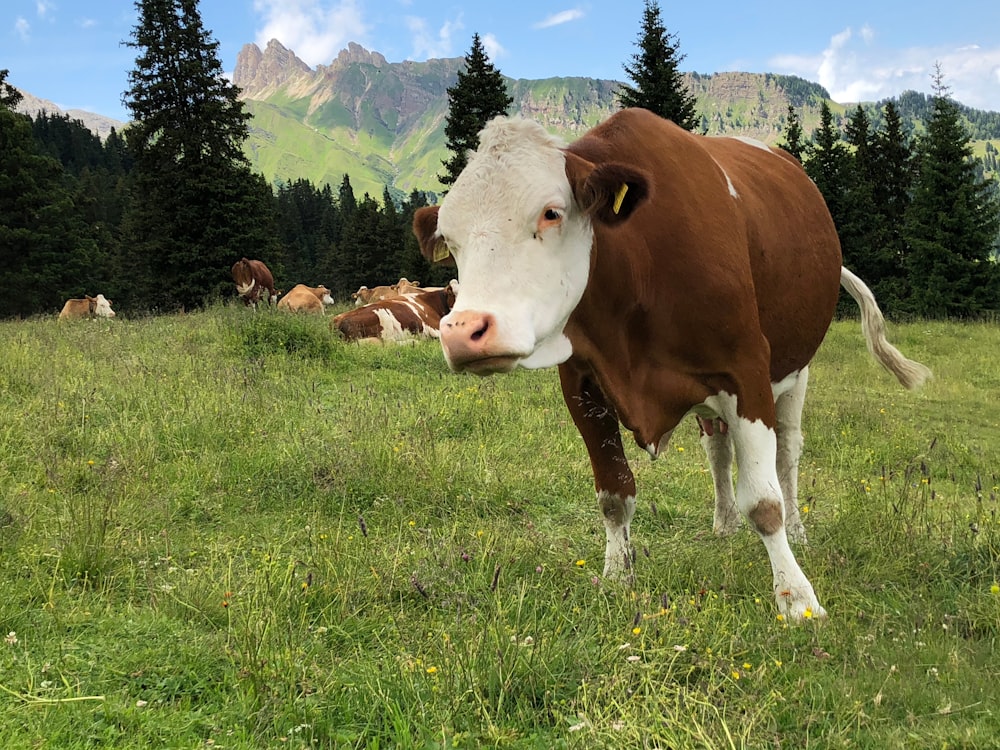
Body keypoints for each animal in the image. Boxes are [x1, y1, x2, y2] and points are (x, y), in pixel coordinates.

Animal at [414, 107, 928, 624]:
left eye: (550, 212)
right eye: (450, 240)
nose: (463, 331)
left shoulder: (746, 369)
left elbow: (765, 501)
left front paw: (797, 597)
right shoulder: (582, 383)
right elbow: (614, 494)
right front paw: (616, 577)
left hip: (795, 371)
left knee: (788, 453)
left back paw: (799, 531)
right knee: (718, 450)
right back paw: (723, 524)